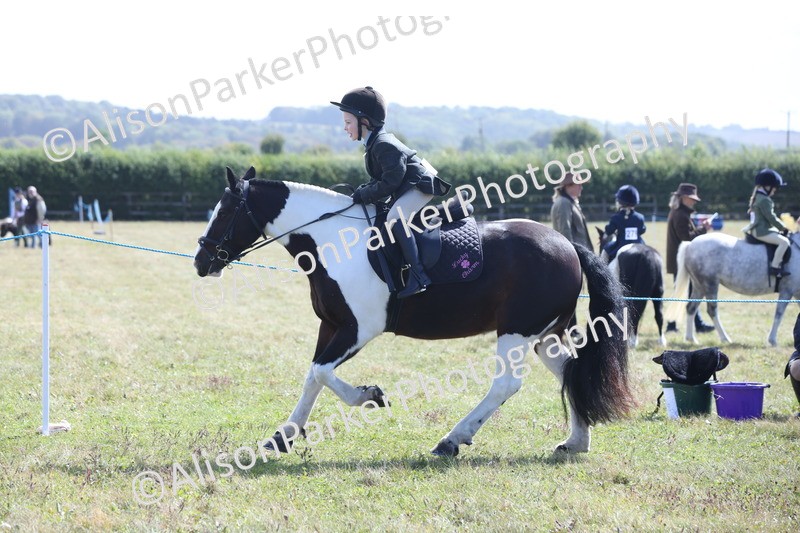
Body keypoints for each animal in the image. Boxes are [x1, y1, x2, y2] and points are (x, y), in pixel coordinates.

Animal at [193, 167, 633, 457]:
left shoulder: (359, 328)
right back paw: (576, 442)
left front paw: (370, 396)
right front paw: (282, 436)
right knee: (570, 372)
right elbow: (312, 377)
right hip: (544, 335)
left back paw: (451, 440)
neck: (332, 241)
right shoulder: (332, 326)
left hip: (516, 331)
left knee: (506, 386)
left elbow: (321, 373)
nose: (201, 261)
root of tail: (566, 244)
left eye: (225, 212)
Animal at [670, 231, 800, 346]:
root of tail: (690, 244)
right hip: (710, 284)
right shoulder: (787, 291)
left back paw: (691, 339)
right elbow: (779, 314)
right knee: (712, 310)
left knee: (691, 308)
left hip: (699, 286)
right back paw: (725, 338)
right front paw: (772, 340)